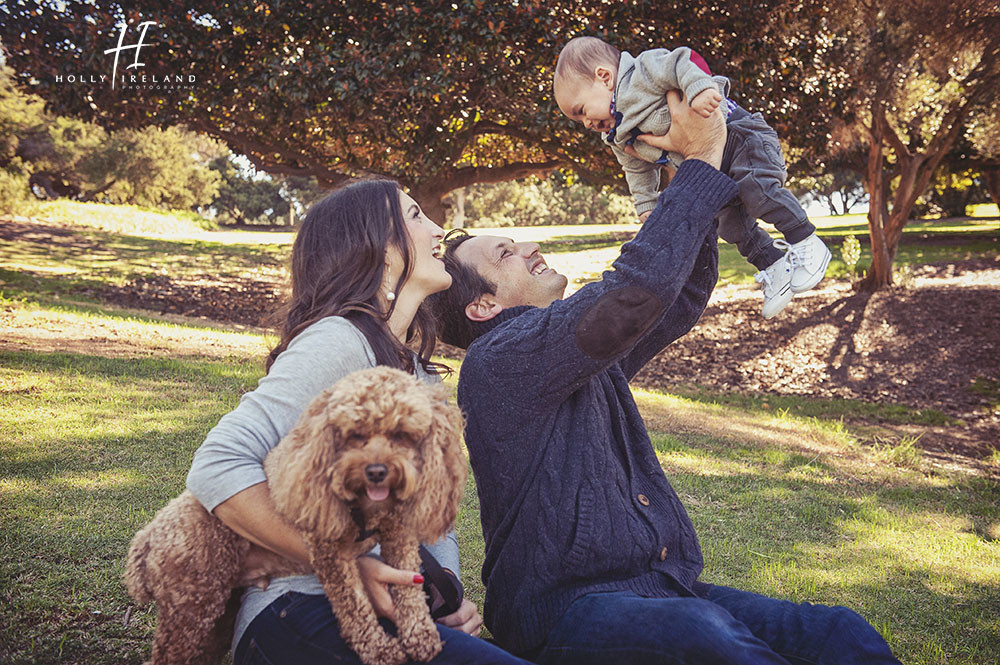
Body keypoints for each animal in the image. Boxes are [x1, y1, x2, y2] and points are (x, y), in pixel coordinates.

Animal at [126, 366, 468, 664]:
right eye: (354, 434)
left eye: (401, 434)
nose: (376, 472)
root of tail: (148, 535)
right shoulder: (330, 551)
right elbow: (355, 606)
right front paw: (379, 649)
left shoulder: (400, 534)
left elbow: (409, 587)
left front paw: (420, 635)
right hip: (192, 605)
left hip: (217, 612)